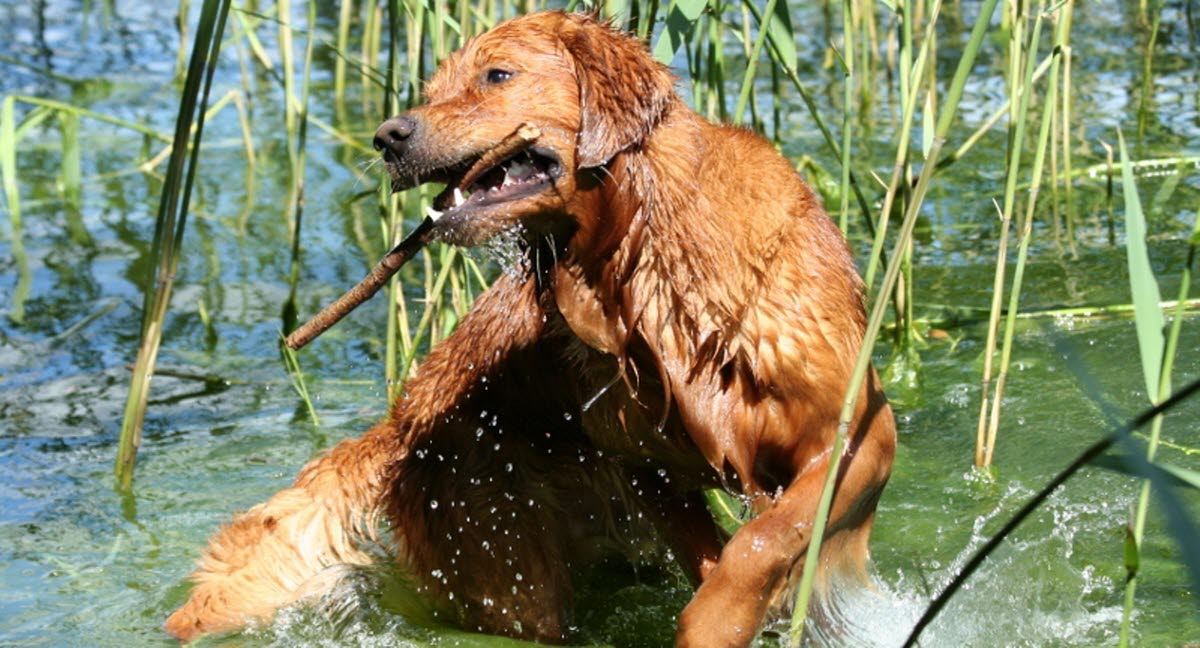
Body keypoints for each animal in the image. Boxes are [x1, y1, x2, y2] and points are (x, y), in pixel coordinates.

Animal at [166, 12, 892, 643]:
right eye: (433, 90)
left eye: (497, 75)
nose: (387, 137)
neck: (641, 256)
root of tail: (403, 417)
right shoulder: (645, 469)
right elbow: (734, 550)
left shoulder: (858, 434)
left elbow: (763, 541)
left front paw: (734, 616)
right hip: (507, 564)